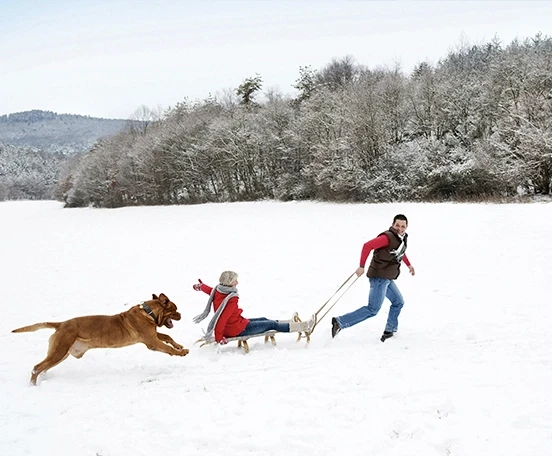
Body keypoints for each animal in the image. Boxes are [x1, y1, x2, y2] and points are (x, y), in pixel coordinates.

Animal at [11, 292, 189, 384]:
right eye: (175, 309)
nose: (181, 314)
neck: (148, 312)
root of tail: (61, 324)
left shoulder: (153, 335)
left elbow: (167, 336)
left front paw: (179, 346)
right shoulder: (151, 341)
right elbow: (166, 347)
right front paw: (181, 352)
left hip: (61, 353)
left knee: (44, 367)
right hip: (59, 350)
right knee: (37, 367)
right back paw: (33, 385)